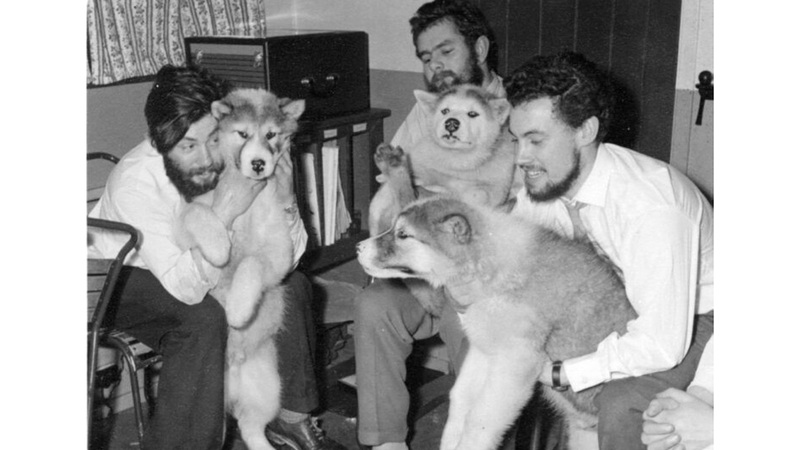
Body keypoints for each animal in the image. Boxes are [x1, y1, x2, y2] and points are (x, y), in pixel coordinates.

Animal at [176, 88, 305, 450]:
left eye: (271, 135)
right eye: (243, 134)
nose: (259, 163)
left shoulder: (277, 254)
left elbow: (250, 264)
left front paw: (237, 310)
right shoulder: (187, 227)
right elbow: (199, 215)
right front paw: (220, 247)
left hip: (267, 390)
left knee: (251, 429)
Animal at [357, 196, 637, 450]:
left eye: (403, 235)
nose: (359, 247)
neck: (488, 265)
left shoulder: (515, 364)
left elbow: (479, 420)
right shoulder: (484, 352)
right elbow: (460, 401)